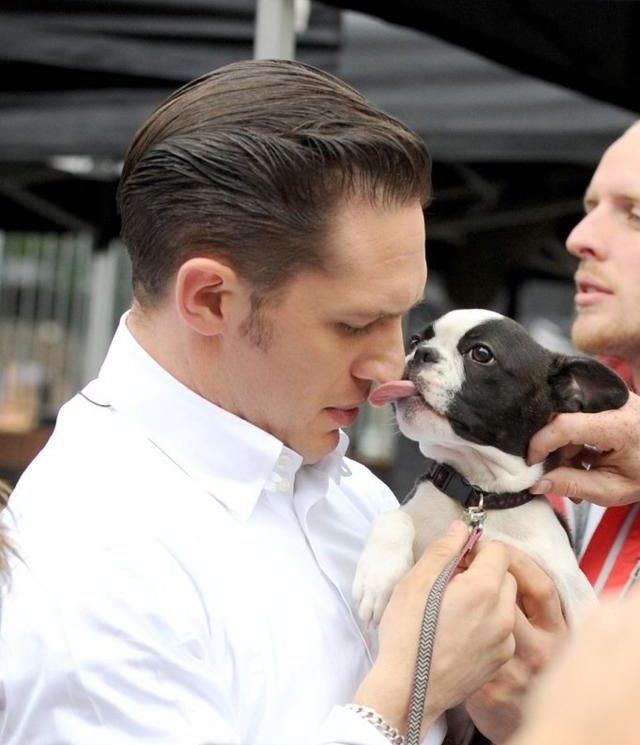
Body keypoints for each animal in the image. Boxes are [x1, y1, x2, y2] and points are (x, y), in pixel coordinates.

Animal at [356, 308, 632, 628]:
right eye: (414, 340)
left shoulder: (568, 577)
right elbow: (394, 518)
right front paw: (377, 578)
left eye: (481, 354)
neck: (480, 494)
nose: (421, 353)